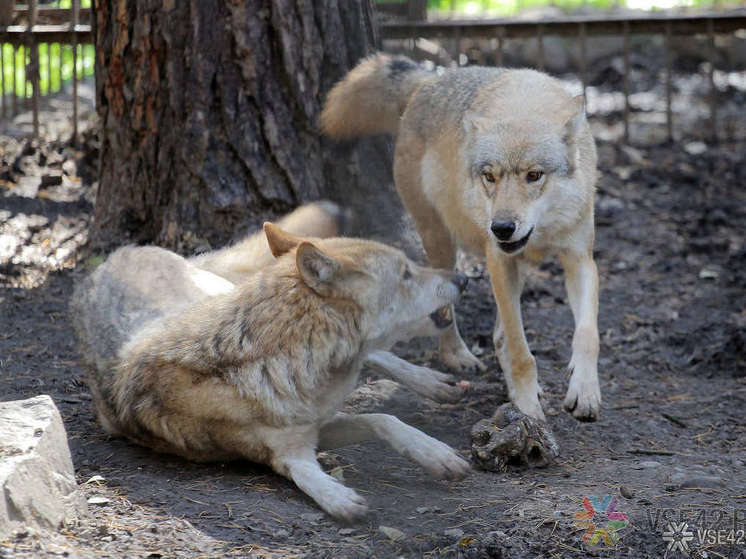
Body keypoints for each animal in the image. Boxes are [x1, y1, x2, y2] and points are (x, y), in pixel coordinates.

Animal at [72, 205, 468, 520]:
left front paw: (436, 453)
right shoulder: (289, 448)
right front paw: (339, 498)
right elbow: (308, 471)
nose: (464, 277)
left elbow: (385, 418)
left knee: (378, 355)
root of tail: (117, 254)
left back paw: (434, 382)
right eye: (406, 273)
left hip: (213, 293)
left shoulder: (319, 422)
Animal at [322, 54, 600, 422]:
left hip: (515, 265)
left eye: (534, 175)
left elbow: (587, 334)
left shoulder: (580, 261)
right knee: (449, 311)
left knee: (498, 333)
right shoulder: (499, 259)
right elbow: (521, 349)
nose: (501, 228)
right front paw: (527, 410)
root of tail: (429, 80)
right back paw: (458, 355)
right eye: (489, 177)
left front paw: (584, 391)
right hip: (441, 242)